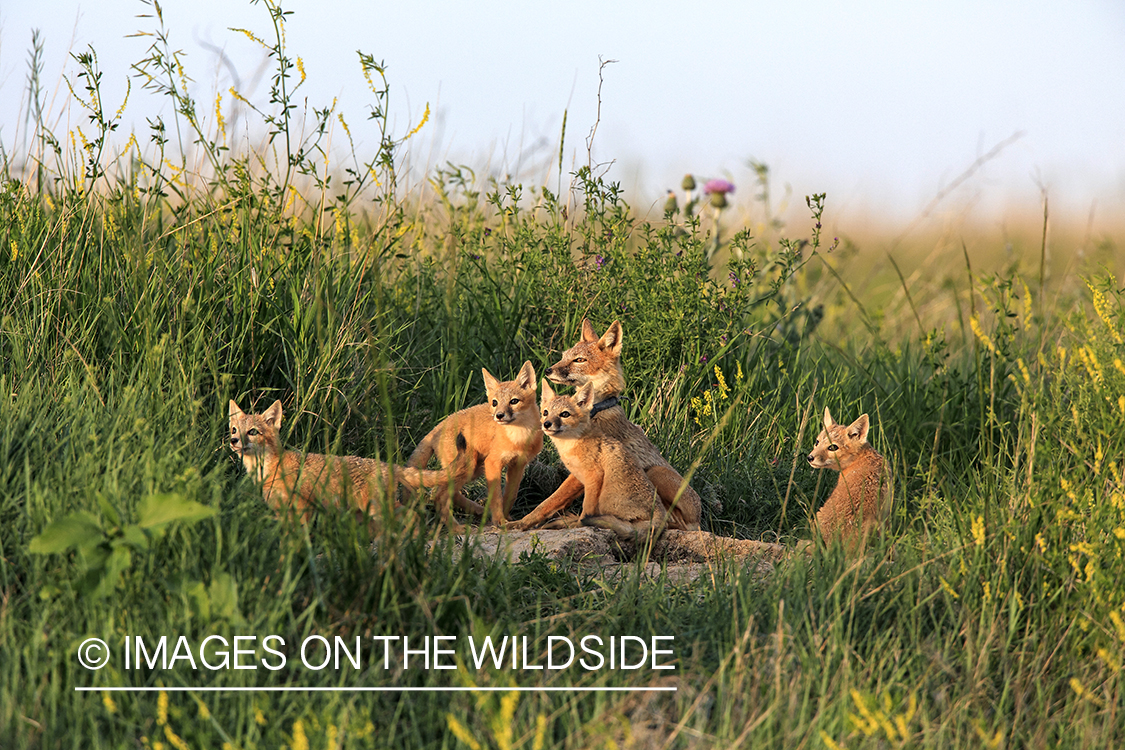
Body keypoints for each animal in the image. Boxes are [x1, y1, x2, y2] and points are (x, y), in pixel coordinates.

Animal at [228, 399, 467, 529]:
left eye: (253, 432)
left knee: (414, 516)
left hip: (378, 509)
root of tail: (385, 464)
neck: (268, 468)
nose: (233, 441)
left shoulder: (302, 508)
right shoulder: (281, 512)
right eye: (234, 429)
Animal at [407, 361, 543, 525]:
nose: (499, 415)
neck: (519, 438)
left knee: (447, 493)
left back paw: (478, 511)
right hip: (469, 467)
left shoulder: (518, 464)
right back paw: (457, 525)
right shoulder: (493, 463)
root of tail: (437, 426)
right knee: (439, 494)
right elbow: (496, 497)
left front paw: (507, 518)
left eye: (514, 401)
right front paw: (499, 521)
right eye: (494, 402)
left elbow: (511, 495)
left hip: (474, 469)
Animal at [515, 379, 666, 541]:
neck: (570, 446)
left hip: (607, 498)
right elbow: (551, 503)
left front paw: (577, 526)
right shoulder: (578, 477)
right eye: (545, 413)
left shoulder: (594, 475)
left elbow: (584, 510)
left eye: (565, 414)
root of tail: (661, 517)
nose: (547, 424)